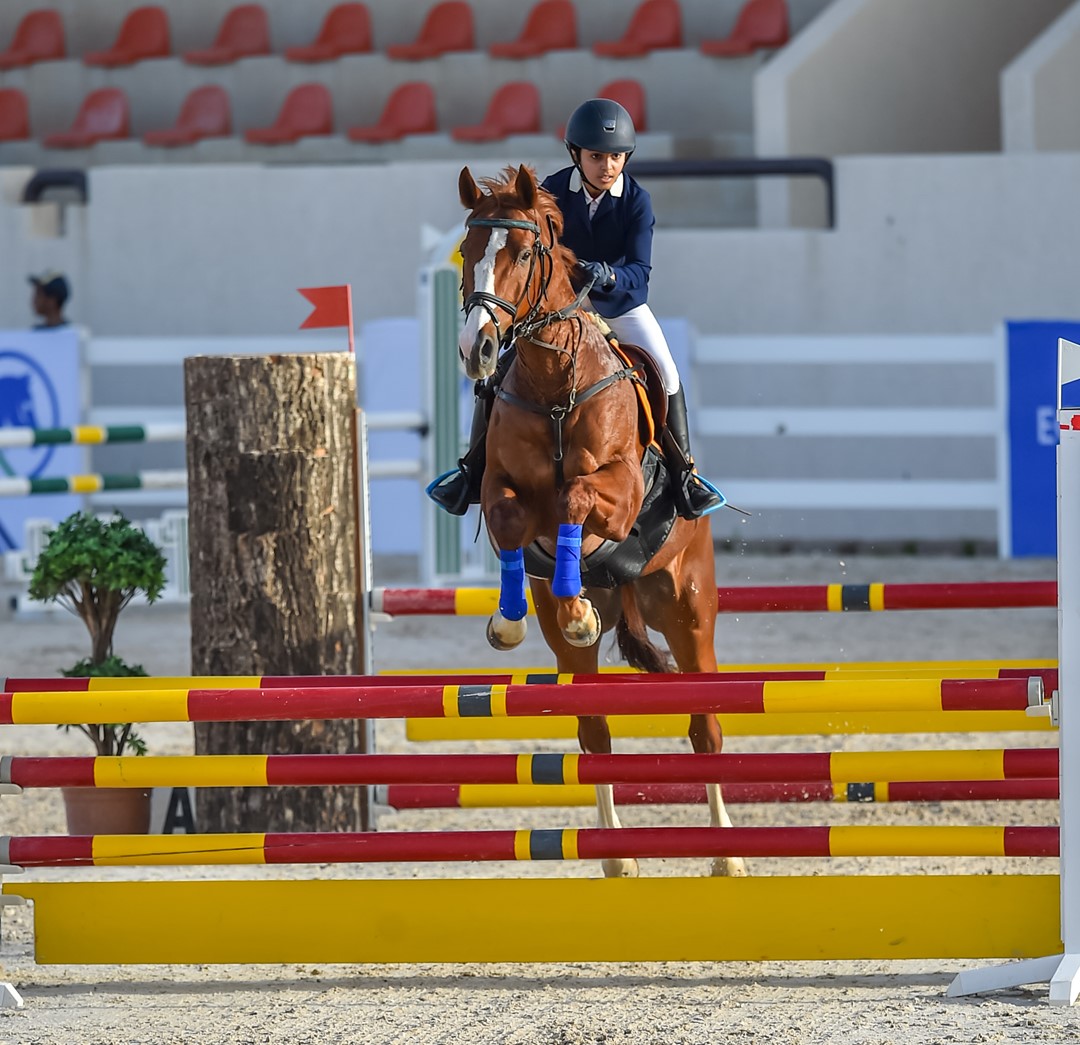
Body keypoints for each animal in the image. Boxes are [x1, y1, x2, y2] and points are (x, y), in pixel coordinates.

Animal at [456, 164, 746, 879]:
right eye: (467, 251)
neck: (554, 381)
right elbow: (512, 517)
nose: (479, 351)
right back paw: (617, 859)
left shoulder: (619, 492)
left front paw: (575, 592)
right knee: (594, 730)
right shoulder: (500, 490)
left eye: (523, 252)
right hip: (590, 653)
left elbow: (577, 501)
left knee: (705, 726)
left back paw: (728, 857)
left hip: (687, 607)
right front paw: (513, 620)